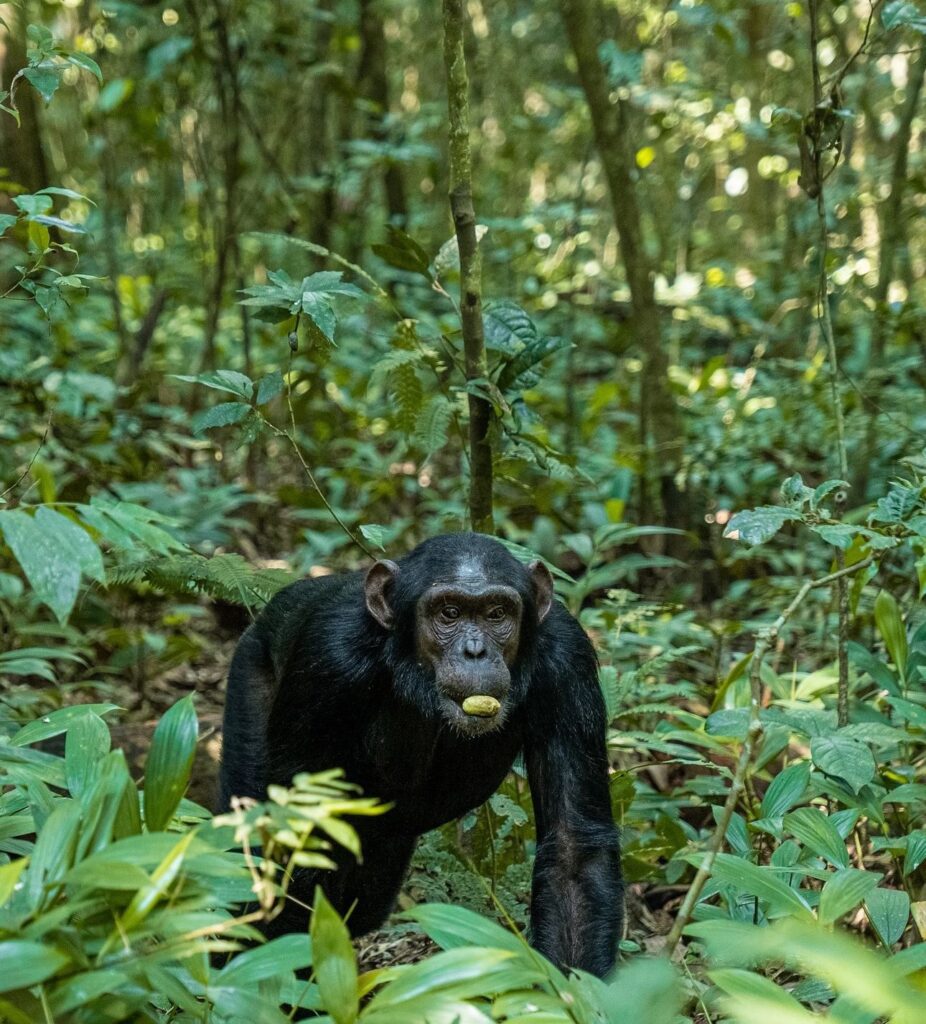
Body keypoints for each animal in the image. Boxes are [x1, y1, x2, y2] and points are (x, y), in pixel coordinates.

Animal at [217, 536, 622, 974]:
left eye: (497, 614)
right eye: (449, 613)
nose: (475, 651)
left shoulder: (568, 662)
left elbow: (573, 852)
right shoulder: (327, 658)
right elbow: (303, 835)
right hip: (251, 671)